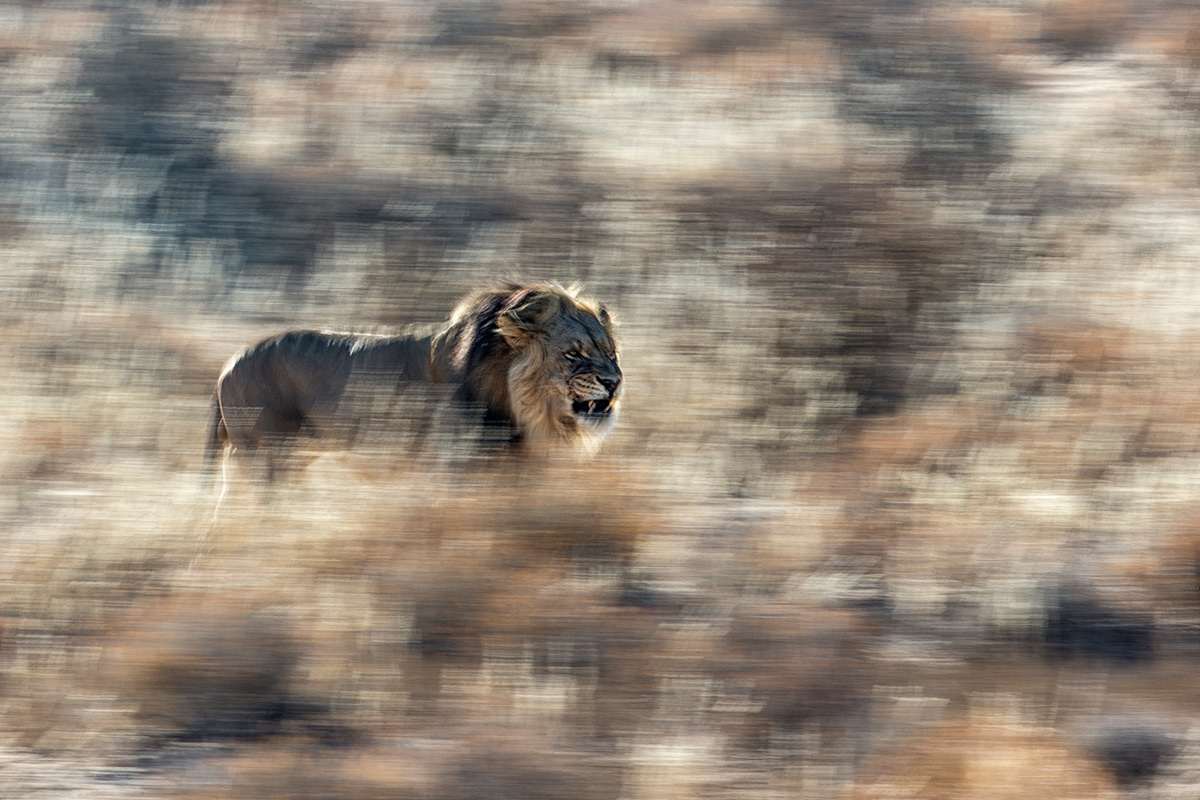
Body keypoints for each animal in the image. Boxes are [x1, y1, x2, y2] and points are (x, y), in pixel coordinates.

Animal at [202, 281, 624, 482]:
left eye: (611, 353)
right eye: (574, 354)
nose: (614, 383)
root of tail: (226, 365)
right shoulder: (455, 468)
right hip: (267, 458)